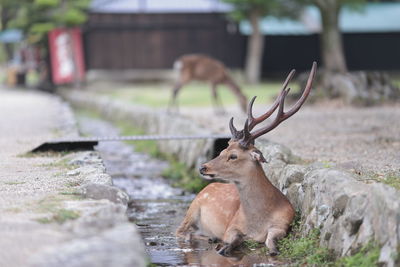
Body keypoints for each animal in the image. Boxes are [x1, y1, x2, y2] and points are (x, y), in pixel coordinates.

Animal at [177, 61, 318, 256]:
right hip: (193, 207)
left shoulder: (284, 222)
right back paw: (212, 239)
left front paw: (272, 250)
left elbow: (271, 243)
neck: (257, 223)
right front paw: (225, 246)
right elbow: (234, 237)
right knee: (180, 231)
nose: (203, 167)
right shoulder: (231, 226)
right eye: (222, 150)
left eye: (233, 156)